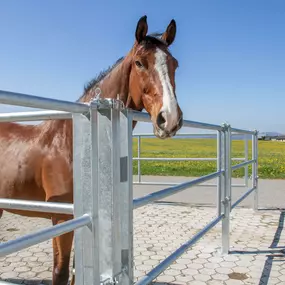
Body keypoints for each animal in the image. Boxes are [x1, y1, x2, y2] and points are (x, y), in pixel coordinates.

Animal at [0, 15, 182, 284]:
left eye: (175, 65)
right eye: (139, 62)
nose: (169, 119)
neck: (72, 143)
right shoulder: (63, 218)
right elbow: (60, 273)